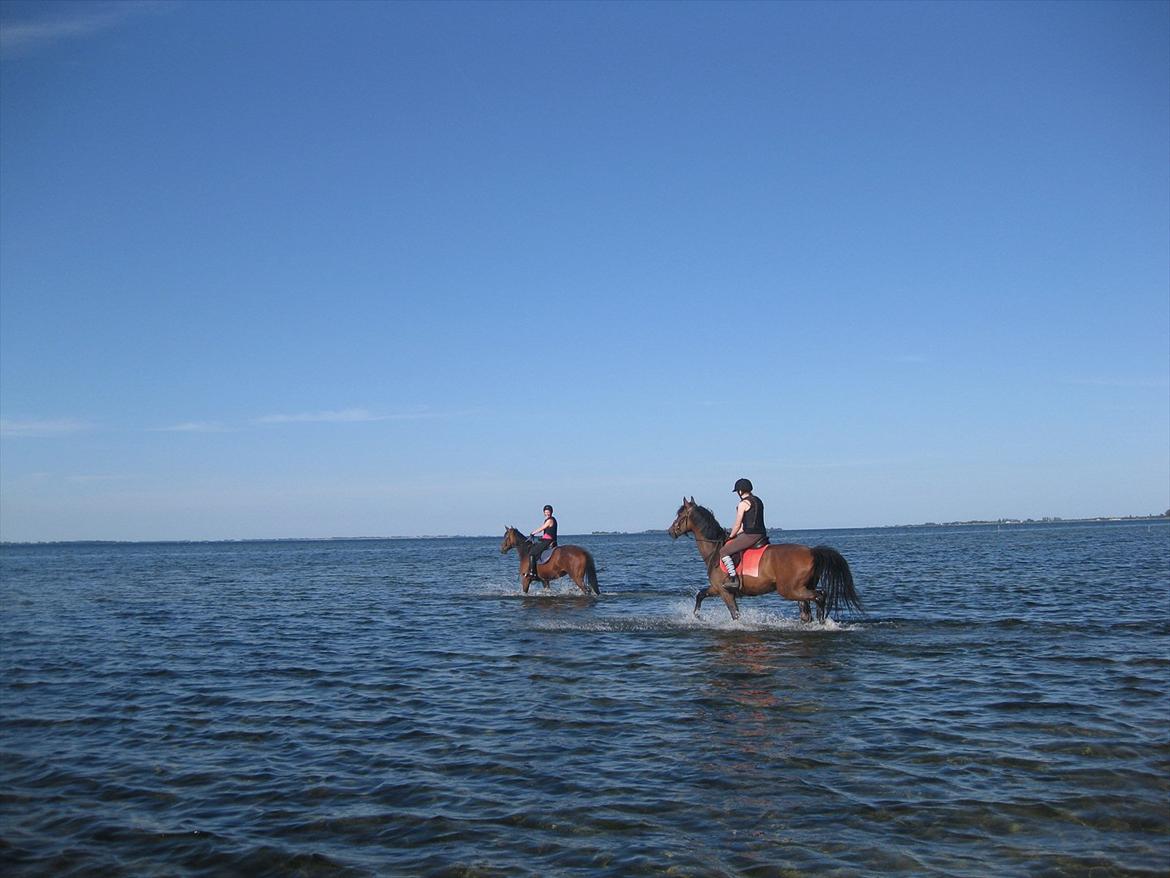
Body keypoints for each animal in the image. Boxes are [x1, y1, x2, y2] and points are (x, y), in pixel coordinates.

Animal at [669, 496, 861, 627]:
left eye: (680, 516)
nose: (670, 531)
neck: (715, 551)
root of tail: (812, 551)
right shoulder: (716, 589)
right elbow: (700, 594)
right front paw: (696, 617)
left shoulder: (725, 592)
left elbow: (735, 615)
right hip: (802, 588)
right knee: (808, 610)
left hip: (790, 590)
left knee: (820, 596)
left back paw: (822, 622)